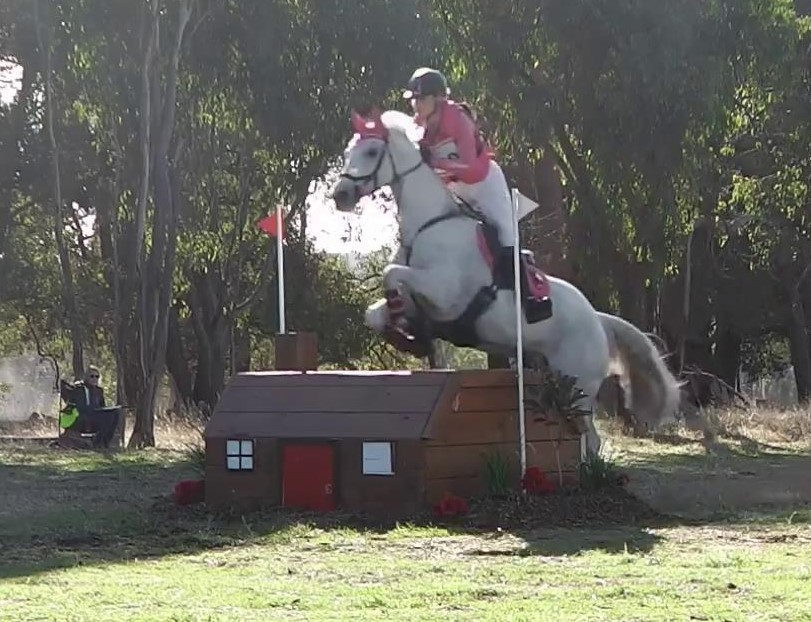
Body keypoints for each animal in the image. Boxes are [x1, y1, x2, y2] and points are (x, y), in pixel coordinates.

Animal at [330, 108, 681, 454]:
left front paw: (412, 332)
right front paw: (406, 332)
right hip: (551, 377)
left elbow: (392, 274)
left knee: (589, 440)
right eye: (347, 153)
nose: (340, 196)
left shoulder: (444, 293)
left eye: (371, 151)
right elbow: (376, 312)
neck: (429, 225)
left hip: (578, 383)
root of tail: (598, 319)